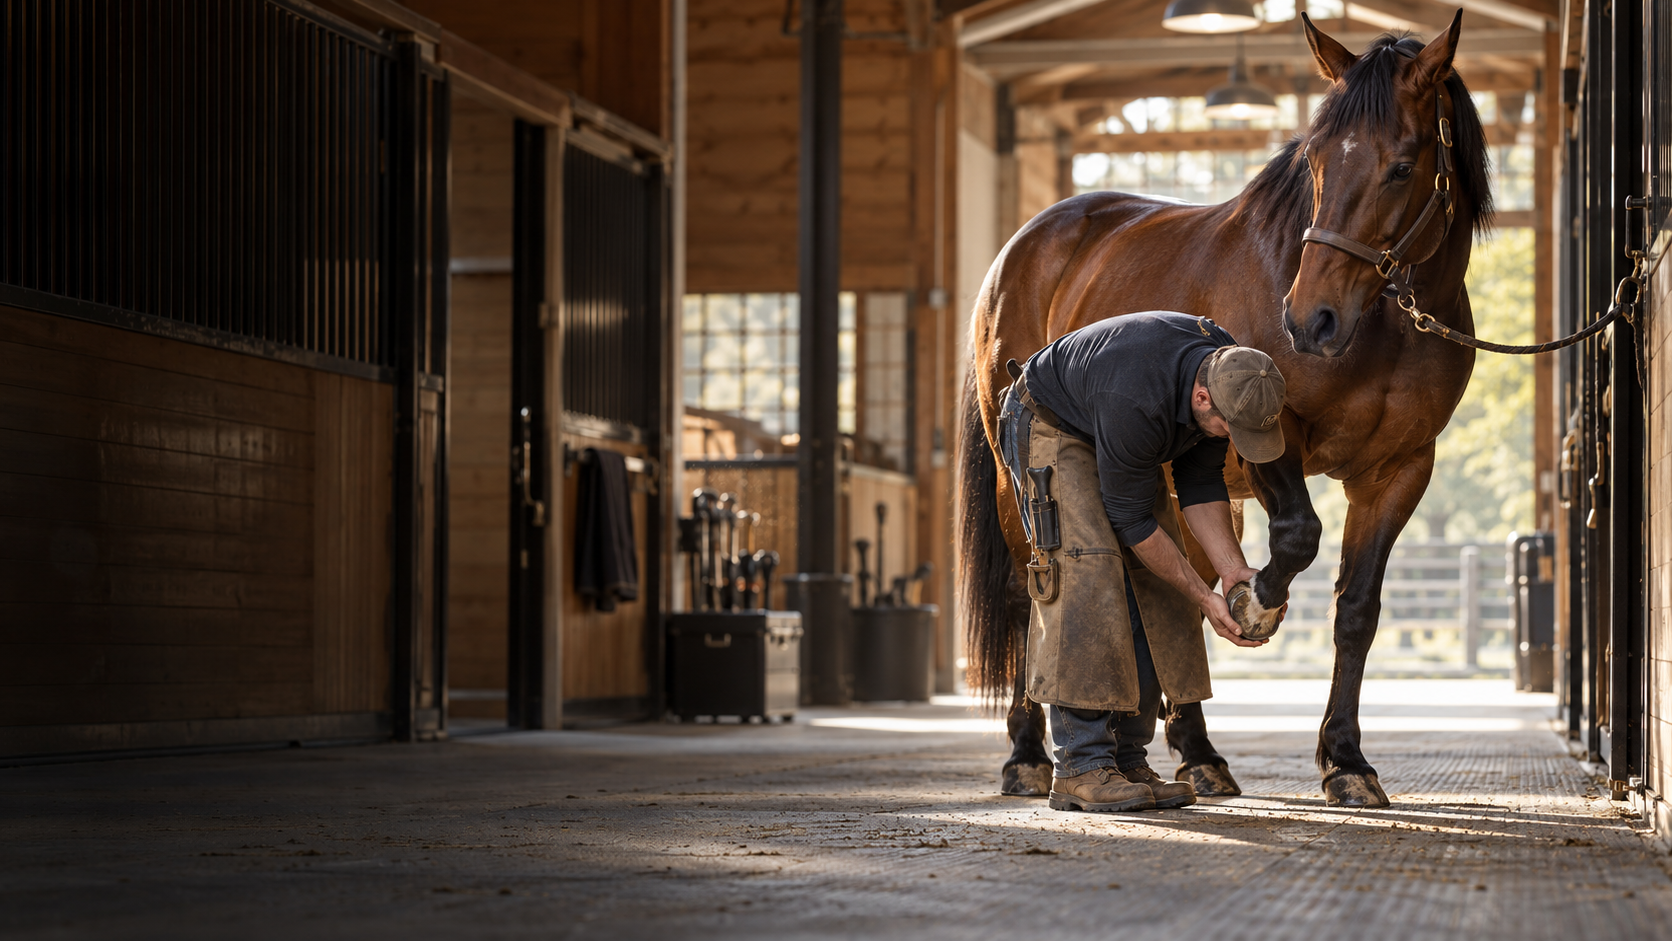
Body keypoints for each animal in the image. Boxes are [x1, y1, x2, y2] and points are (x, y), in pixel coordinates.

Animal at [956, 13, 1492, 807]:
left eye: (1402, 166)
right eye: (1316, 163)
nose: (1310, 320)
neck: (1384, 324)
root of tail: (1018, 249)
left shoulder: (1399, 470)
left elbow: (1357, 610)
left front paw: (1347, 760)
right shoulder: (1270, 439)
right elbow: (1297, 537)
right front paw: (1260, 603)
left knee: (1163, 590)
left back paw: (1195, 754)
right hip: (1018, 477)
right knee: (1033, 590)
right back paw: (1028, 755)